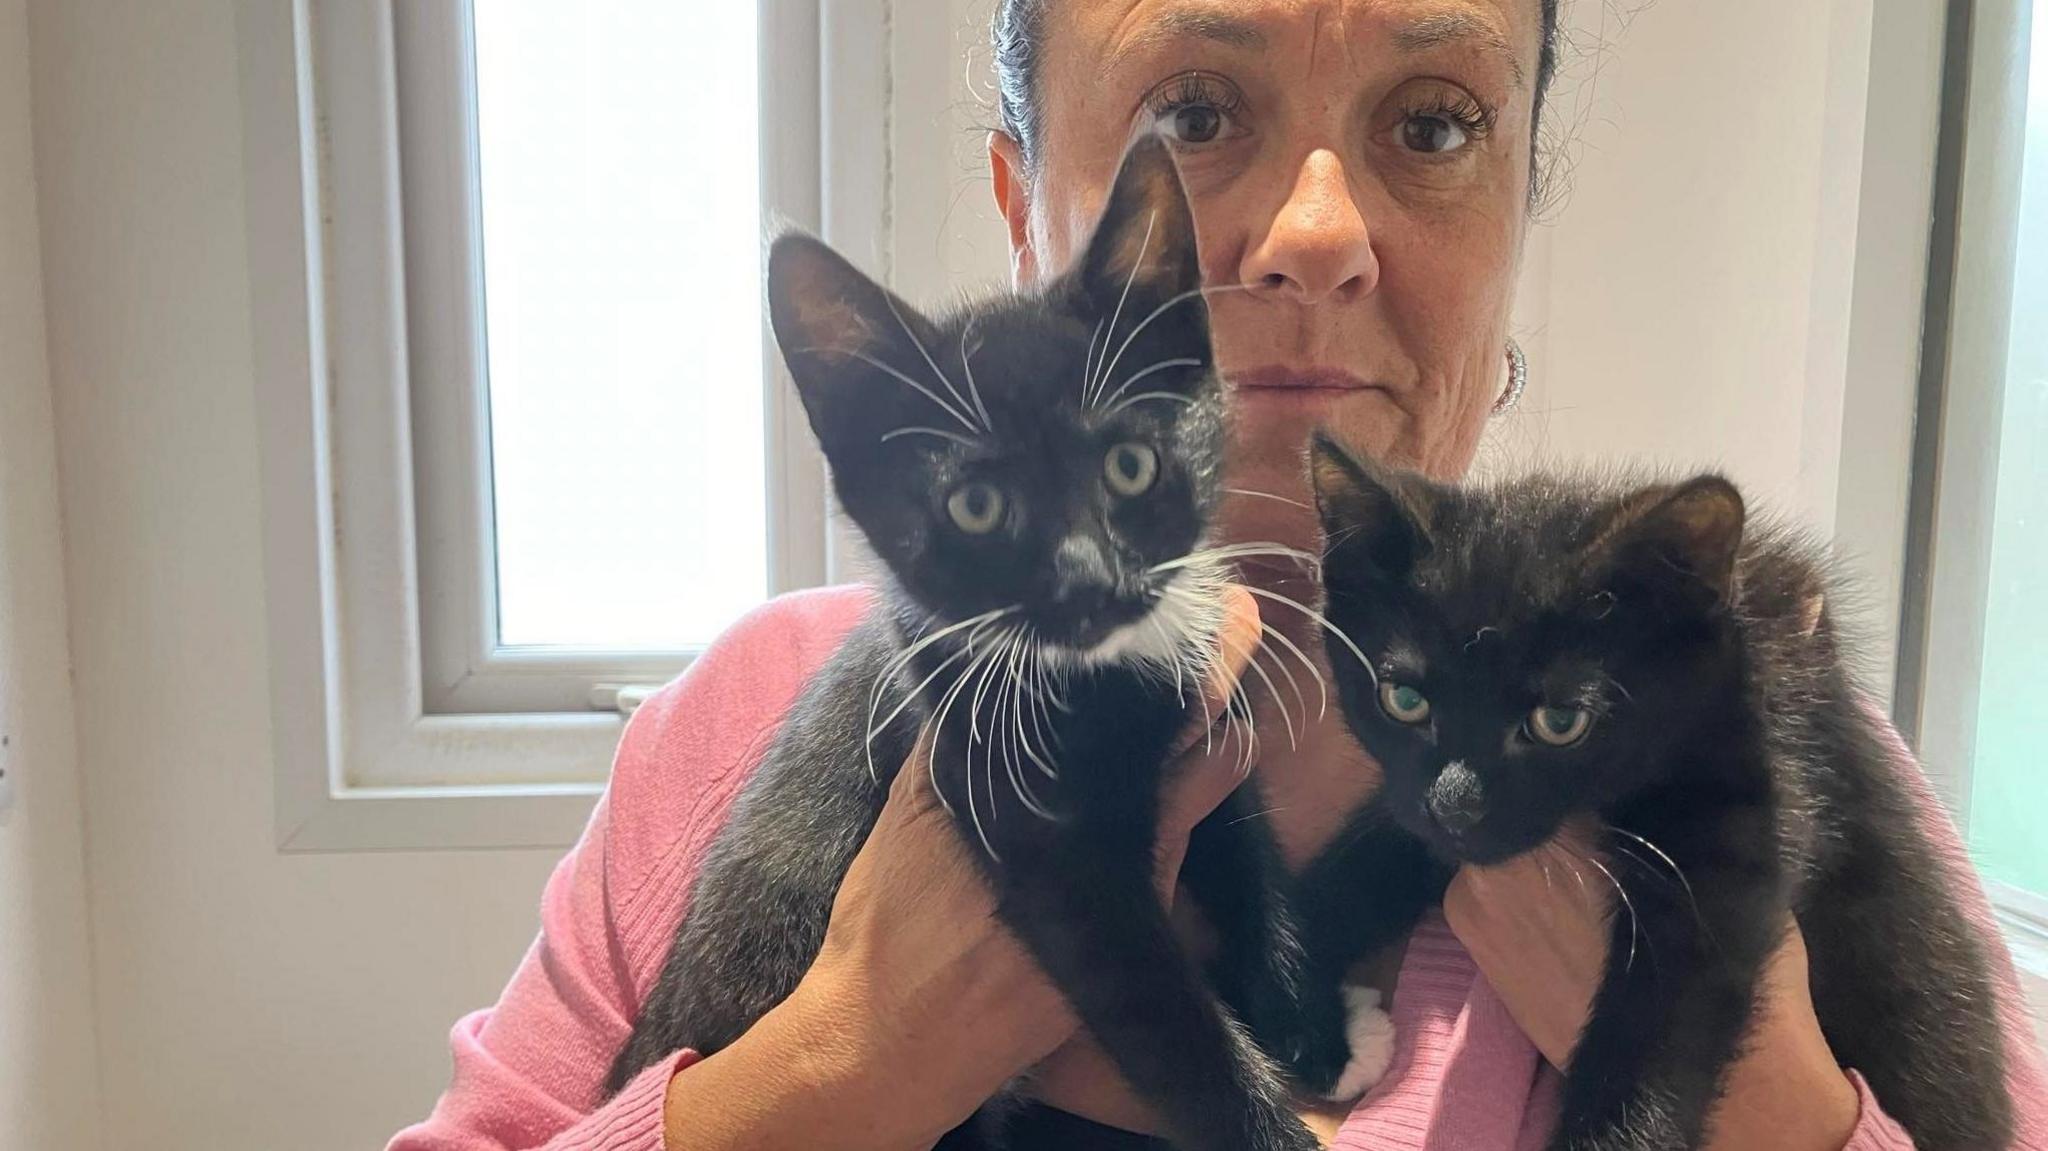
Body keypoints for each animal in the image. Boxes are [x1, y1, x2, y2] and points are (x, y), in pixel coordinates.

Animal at [606, 141, 1343, 1146]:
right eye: (977, 506)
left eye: (1131, 464)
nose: (1089, 581)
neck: (1101, 675)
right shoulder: (1032, 833)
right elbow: (1159, 1010)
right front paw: (1268, 1114)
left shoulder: (1206, 720)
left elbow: (1246, 839)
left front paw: (1312, 1016)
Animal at [1294, 436, 2015, 1146]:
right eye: (1404, 700)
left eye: (1561, 721)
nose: (1455, 804)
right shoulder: (1418, 814)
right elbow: (1357, 868)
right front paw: (1309, 1024)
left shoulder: (1744, 815)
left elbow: (1659, 1020)